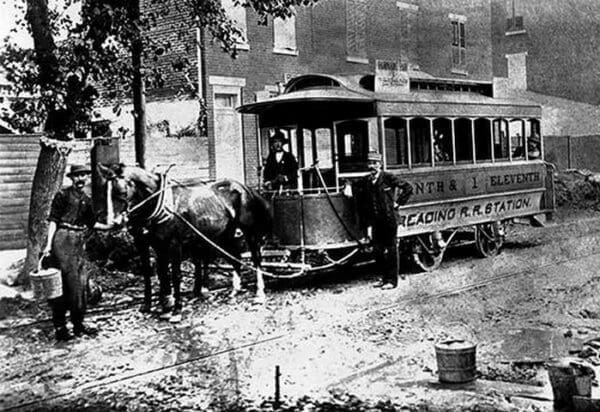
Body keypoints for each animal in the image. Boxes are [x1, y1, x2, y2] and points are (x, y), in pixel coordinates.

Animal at [98, 164, 272, 318]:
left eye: (121, 192)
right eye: (103, 191)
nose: (114, 222)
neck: (159, 204)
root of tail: (245, 188)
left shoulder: (174, 244)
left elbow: (175, 274)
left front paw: (176, 309)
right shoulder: (150, 243)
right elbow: (156, 272)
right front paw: (156, 305)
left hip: (248, 231)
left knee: (256, 258)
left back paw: (259, 293)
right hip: (224, 233)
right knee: (235, 257)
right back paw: (234, 290)